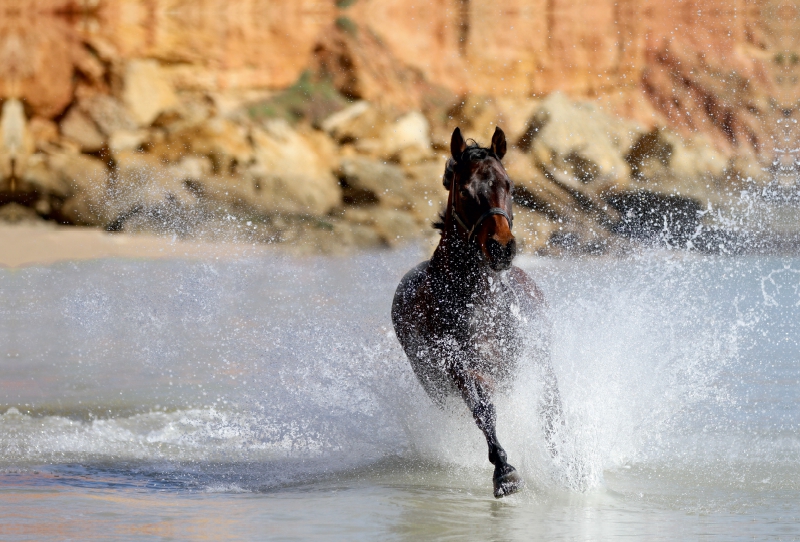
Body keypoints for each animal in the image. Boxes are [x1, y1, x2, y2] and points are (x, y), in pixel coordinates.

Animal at [392, 129, 564, 502]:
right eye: (466, 191)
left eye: (509, 184)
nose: (502, 248)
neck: (480, 302)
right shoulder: (462, 367)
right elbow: (484, 412)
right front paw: (505, 473)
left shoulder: (532, 359)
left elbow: (549, 408)